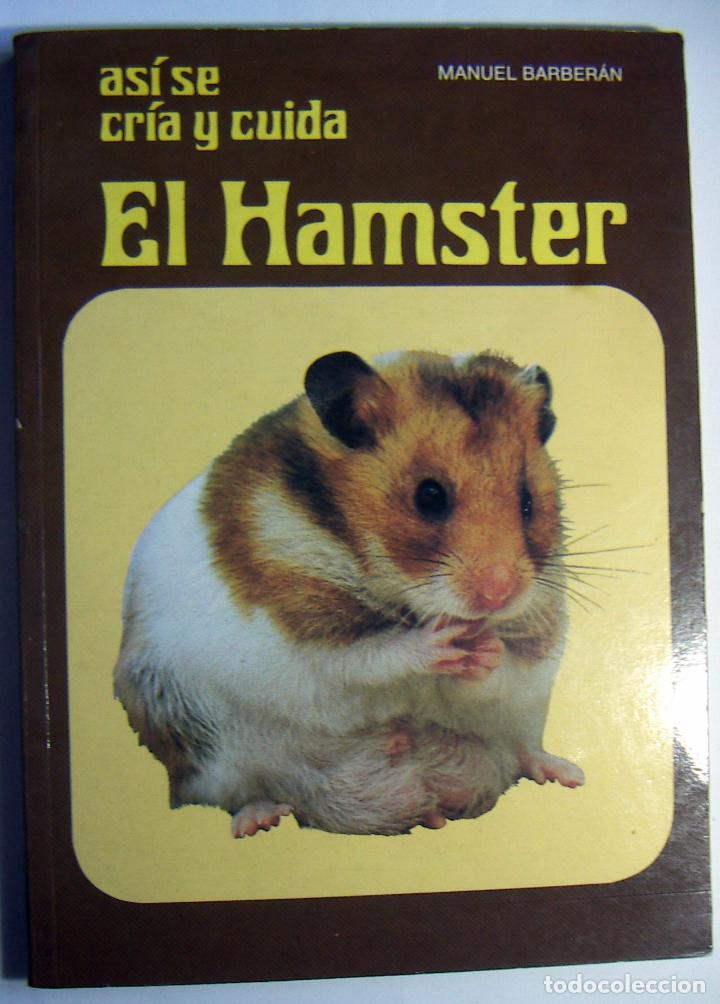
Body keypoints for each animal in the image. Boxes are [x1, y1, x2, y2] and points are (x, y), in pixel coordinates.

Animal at [114, 349, 584, 837]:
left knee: (520, 752)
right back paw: (258, 819)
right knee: (236, 794)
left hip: (525, 717)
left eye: (527, 502)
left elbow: (503, 668)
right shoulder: (301, 625)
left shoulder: (537, 638)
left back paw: (567, 772)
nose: (499, 595)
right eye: (429, 496)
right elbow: (367, 657)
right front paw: (442, 640)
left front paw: (486, 648)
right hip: (196, 741)